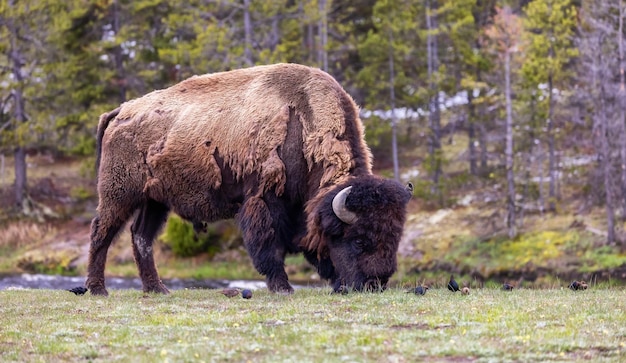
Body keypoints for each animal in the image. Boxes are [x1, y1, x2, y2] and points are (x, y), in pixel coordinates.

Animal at [86, 63, 410, 296]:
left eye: (395, 237)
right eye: (358, 239)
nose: (376, 284)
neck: (304, 124)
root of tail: (120, 111)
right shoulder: (265, 199)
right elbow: (270, 245)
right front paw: (283, 288)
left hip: (154, 200)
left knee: (141, 236)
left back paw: (158, 289)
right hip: (119, 194)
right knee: (102, 232)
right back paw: (99, 289)